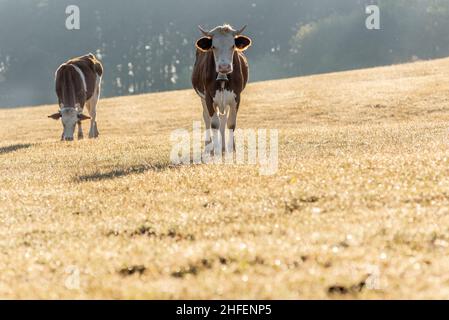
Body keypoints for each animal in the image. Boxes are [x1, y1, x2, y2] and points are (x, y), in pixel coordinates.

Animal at [190, 23, 250, 154]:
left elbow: (231, 123)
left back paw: (224, 147)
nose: (224, 66)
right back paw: (209, 146)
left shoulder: (236, 97)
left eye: (233, 45)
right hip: (203, 98)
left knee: (223, 119)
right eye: (213, 46)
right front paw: (215, 149)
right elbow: (214, 123)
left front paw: (231, 148)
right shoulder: (208, 97)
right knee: (207, 118)